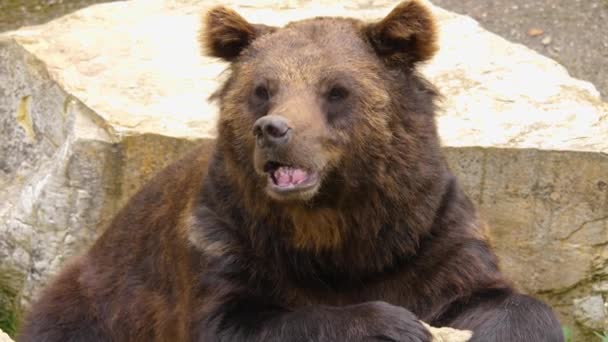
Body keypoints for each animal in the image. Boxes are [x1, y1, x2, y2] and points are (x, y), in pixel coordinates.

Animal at [19, 1, 564, 340]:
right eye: (262, 89)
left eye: (336, 90)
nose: (273, 129)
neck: (338, 232)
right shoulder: (223, 240)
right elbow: (234, 321)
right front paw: (392, 325)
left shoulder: (428, 237)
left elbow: (497, 297)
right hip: (90, 304)